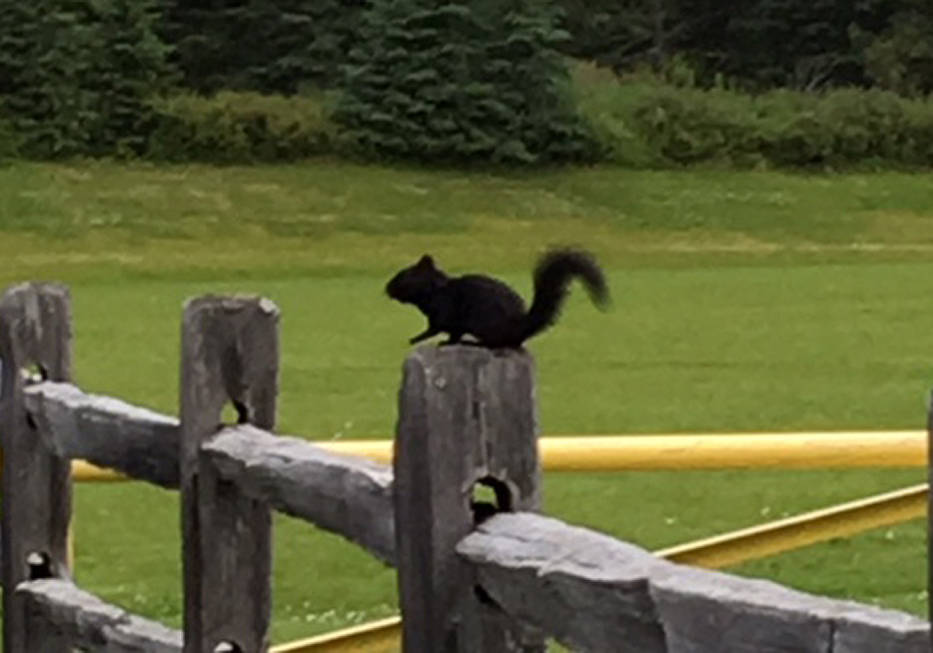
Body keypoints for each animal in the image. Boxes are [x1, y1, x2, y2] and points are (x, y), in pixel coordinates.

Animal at [382, 247, 608, 346]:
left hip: (486, 324)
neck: (437, 290)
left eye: (405, 275)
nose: (387, 288)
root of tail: (520, 327)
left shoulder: (444, 314)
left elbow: (437, 330)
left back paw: (474, 343)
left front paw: (416, 339)